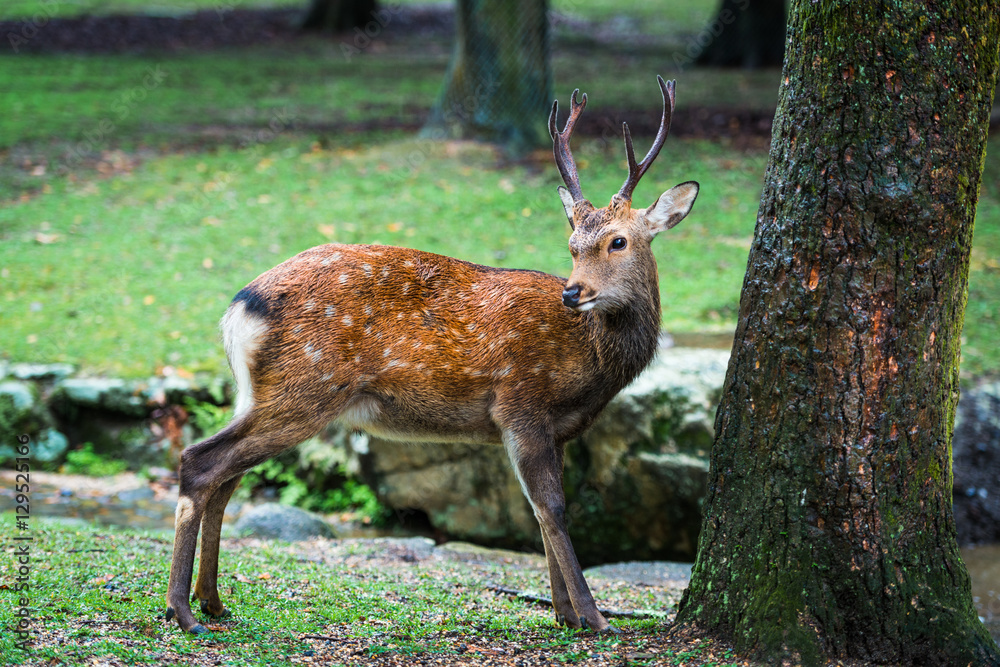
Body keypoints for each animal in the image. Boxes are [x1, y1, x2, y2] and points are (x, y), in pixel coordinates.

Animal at [166, 75, 696, 636]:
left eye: (618, 241)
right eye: (573, 245)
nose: (573, 293)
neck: (590, 367)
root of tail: (239, 308)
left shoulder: (558, 428)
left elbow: (540, 511)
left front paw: (565, 613)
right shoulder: (521, 403)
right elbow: (552, 507)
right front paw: (593, 618)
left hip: (260, 394)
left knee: (226, 477)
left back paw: (212, 601)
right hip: (304, 389)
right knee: (200, 461)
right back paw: (183, 609)